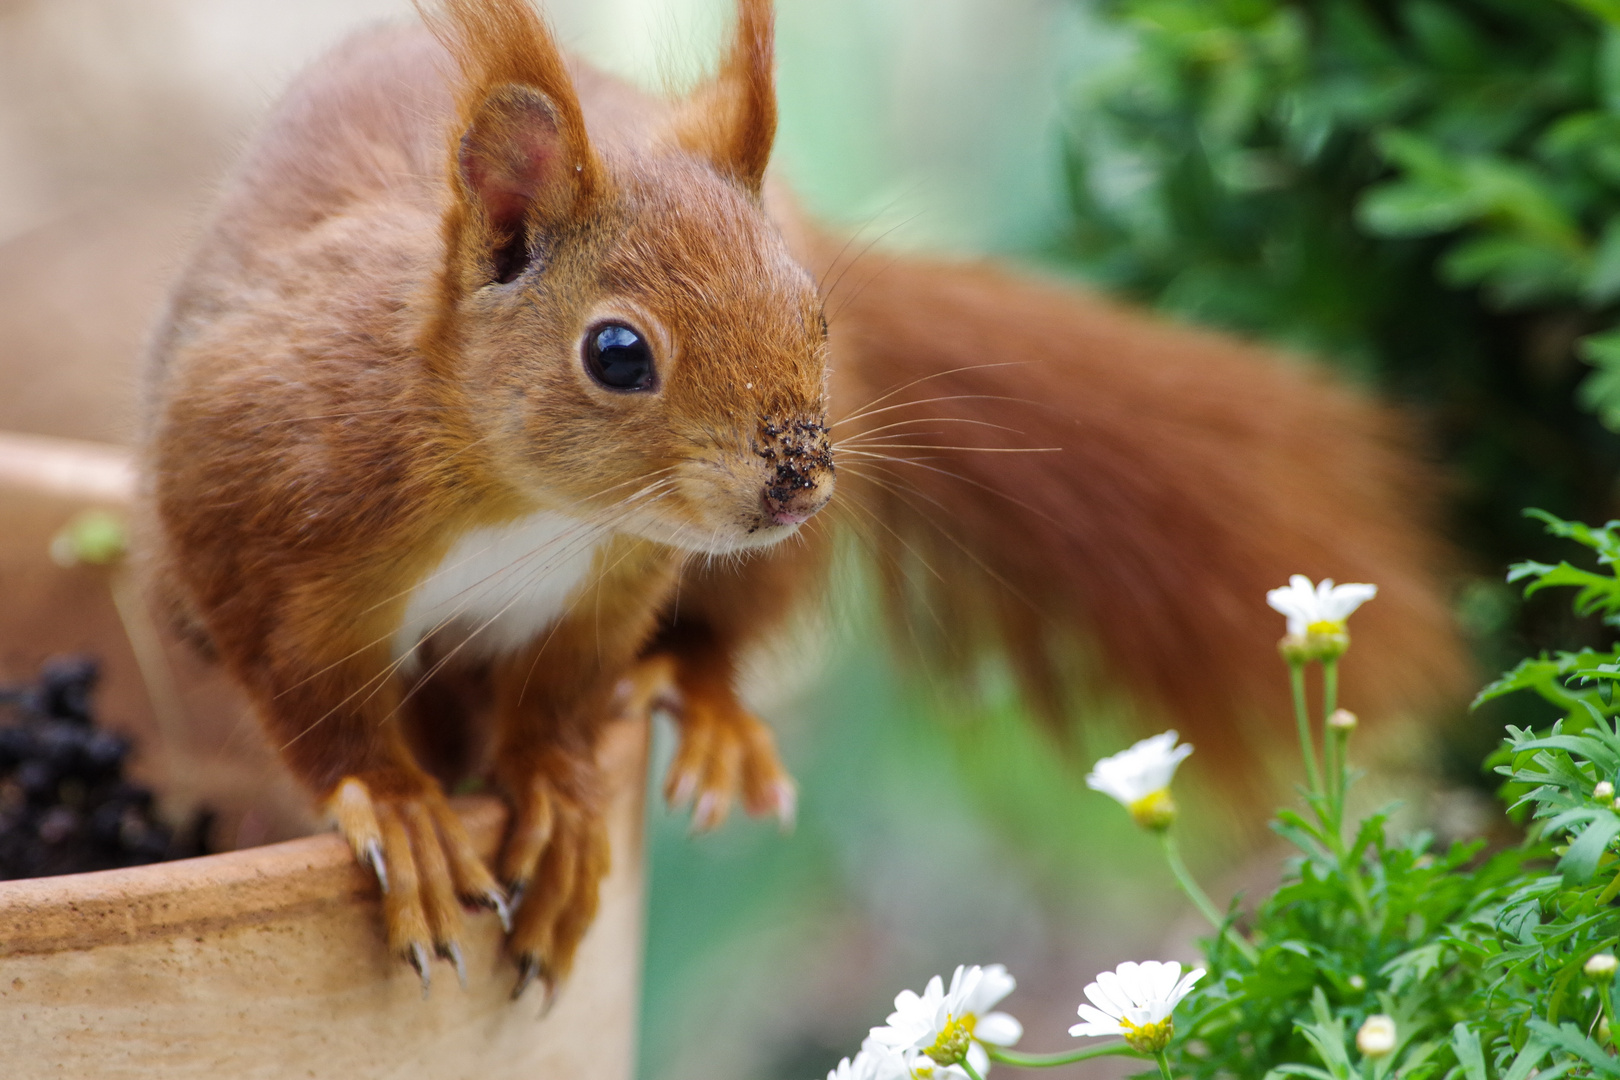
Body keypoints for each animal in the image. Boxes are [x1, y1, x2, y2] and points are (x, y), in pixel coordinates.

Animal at [139, 0, 1470, 997]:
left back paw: (711, 709)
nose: (795, 477)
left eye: (810, 313)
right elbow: (311, 699)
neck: (527, 505)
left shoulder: (605, 591)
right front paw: (406, 809)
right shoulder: (256, 507)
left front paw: (556, 801)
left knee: (711, 642)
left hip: (757, 569)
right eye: (616, 353)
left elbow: (559, 701)